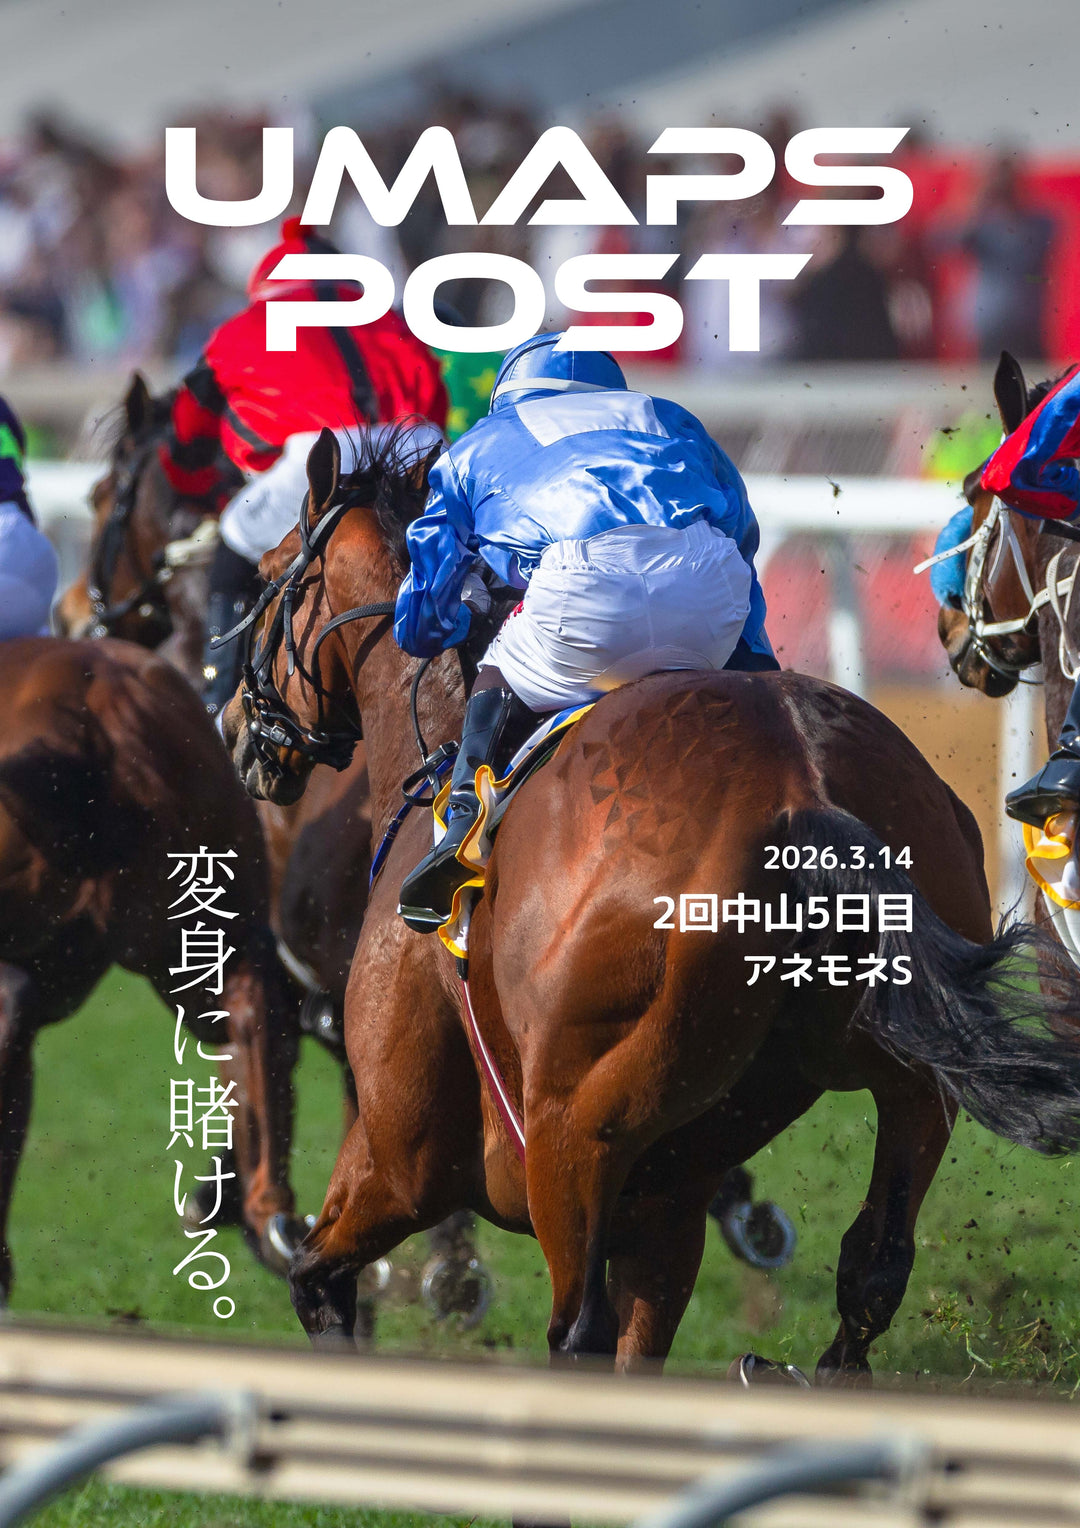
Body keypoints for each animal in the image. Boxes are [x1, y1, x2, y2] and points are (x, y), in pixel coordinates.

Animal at [223, 425, 1080, 1381]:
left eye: (268, 576)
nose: (235, 727)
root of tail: (802, 784)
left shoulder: (403, 1154)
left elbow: (318, 1278)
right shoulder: (662, 1204)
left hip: (574, 1128)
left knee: (577, 1329)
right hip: (909, 1085)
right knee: (873, 1269)